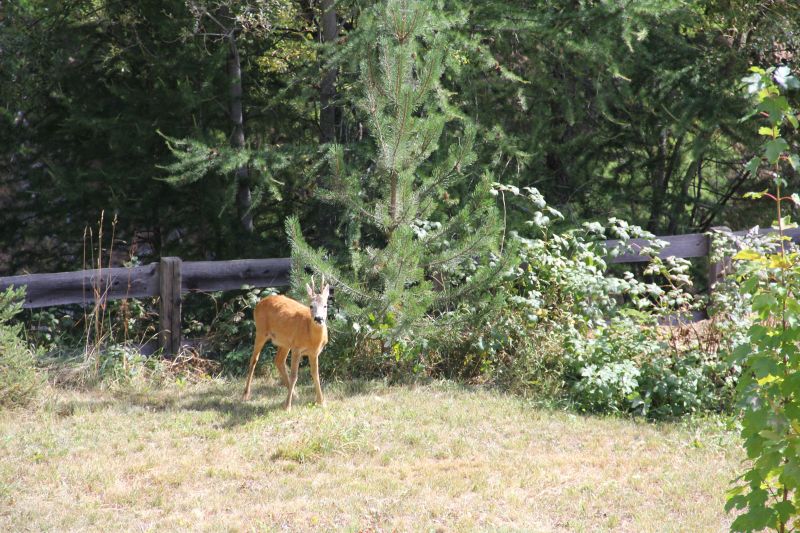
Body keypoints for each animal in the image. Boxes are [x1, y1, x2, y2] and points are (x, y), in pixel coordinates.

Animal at [244, 276, 332, 410]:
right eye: (311, 306)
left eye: (325, 305)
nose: (318, 318)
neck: (312, 338)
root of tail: (260, 302)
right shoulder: (297, 348)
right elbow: (294, 376)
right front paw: (287, 406)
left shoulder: (314, 353)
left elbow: (315, 374)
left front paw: (321, 401)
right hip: (260, 331)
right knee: (254, 360)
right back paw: (246, 394)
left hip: (284, 342)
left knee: (278, 360)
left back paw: (295, 395)